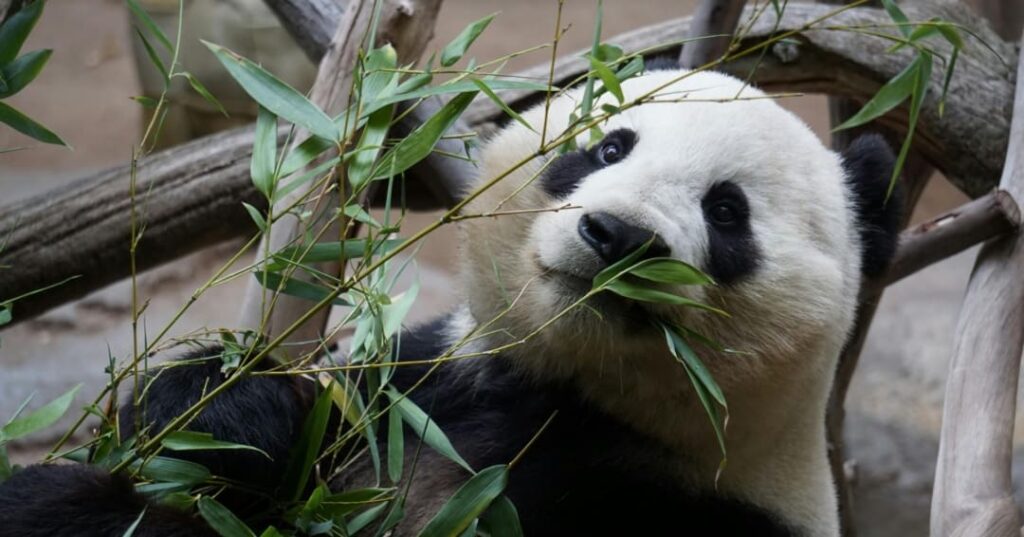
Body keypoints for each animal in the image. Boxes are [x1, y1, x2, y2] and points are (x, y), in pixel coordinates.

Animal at [0, 67, 900, 537]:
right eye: (609, 144)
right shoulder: (424, 387)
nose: (617, 236)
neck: (576, 398)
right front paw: (227, 410)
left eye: (726, 210)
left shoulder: (695, 506)